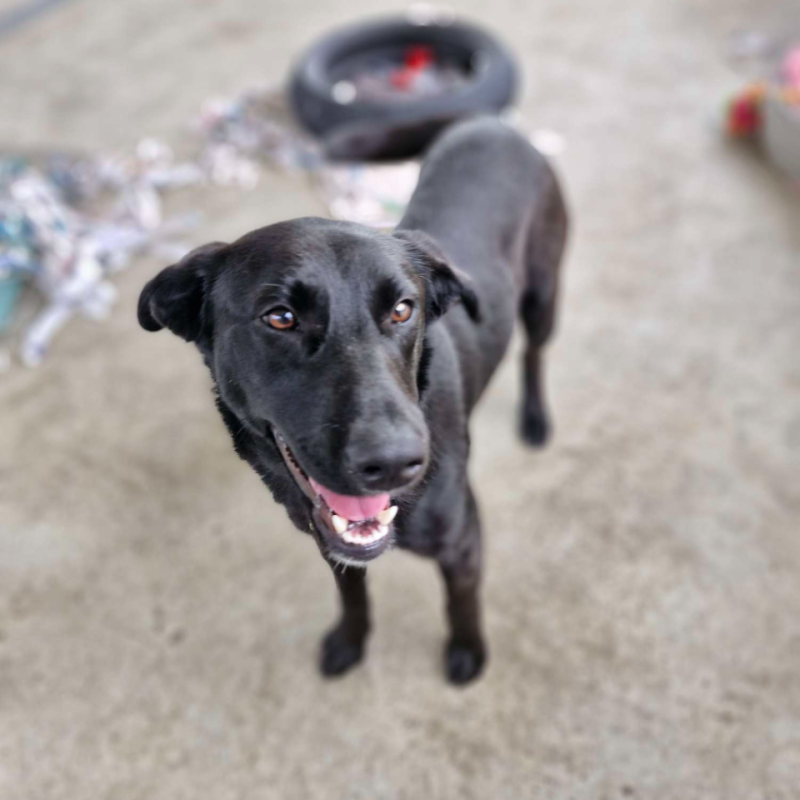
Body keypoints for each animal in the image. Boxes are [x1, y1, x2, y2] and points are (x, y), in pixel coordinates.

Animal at [138, 115, 564, 684]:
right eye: (280, 317)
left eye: (403, 310)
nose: (393, 463)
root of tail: (489, 123)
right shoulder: (331, 546)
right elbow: (353, 597)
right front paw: (350, 641)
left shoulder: (463, 540)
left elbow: (461, 602)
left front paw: (468, 651)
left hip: (543, 295)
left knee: (534, 353)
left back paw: (535, 418)